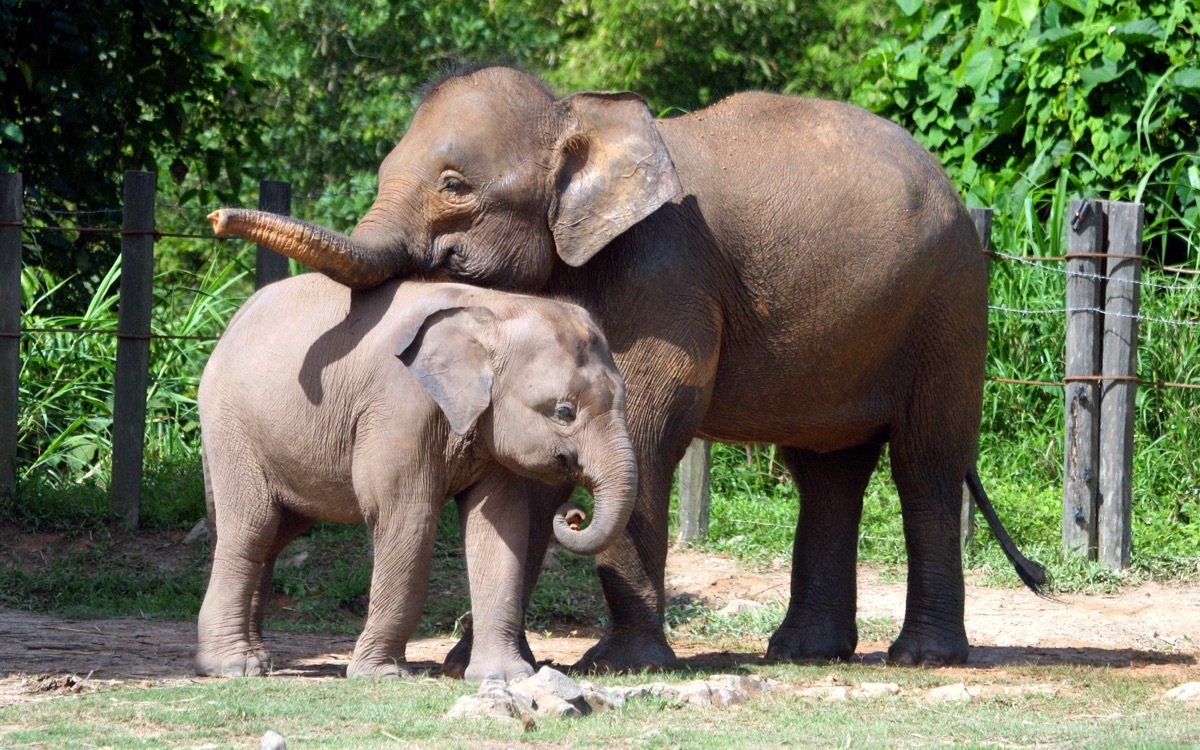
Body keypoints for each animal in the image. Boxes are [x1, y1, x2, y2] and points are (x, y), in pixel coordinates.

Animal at [195, 273, 636, 681]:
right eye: (563, 412)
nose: (574, 515)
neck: (494, 309)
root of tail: (234, 320)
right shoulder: (398, 408)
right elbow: (408, 520)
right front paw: (381, 675)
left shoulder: (489, 431)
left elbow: (500, 527)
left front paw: (505, 677)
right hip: (232, 427)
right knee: (253, 526)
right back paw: (233, 667)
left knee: (276, 533)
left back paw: (256, 659)